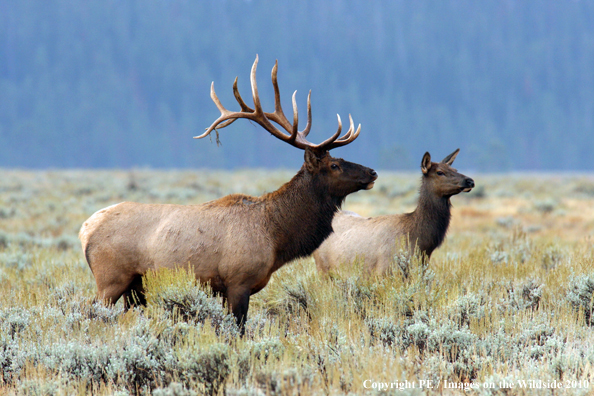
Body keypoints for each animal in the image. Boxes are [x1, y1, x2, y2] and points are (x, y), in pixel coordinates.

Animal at [80, 55, 374, 334]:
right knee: (92, 313)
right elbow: (238, 330)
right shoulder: (238, 281)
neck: (276, 237)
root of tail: (86, 228)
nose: (372, 172)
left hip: (135, 286)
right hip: (111, 278)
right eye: (334, 165)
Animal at [312, 148, 474, 276]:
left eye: (455, 170)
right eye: (440, 172)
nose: (469, 181)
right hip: (323, 269)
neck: (421, 243)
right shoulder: (384, 271)